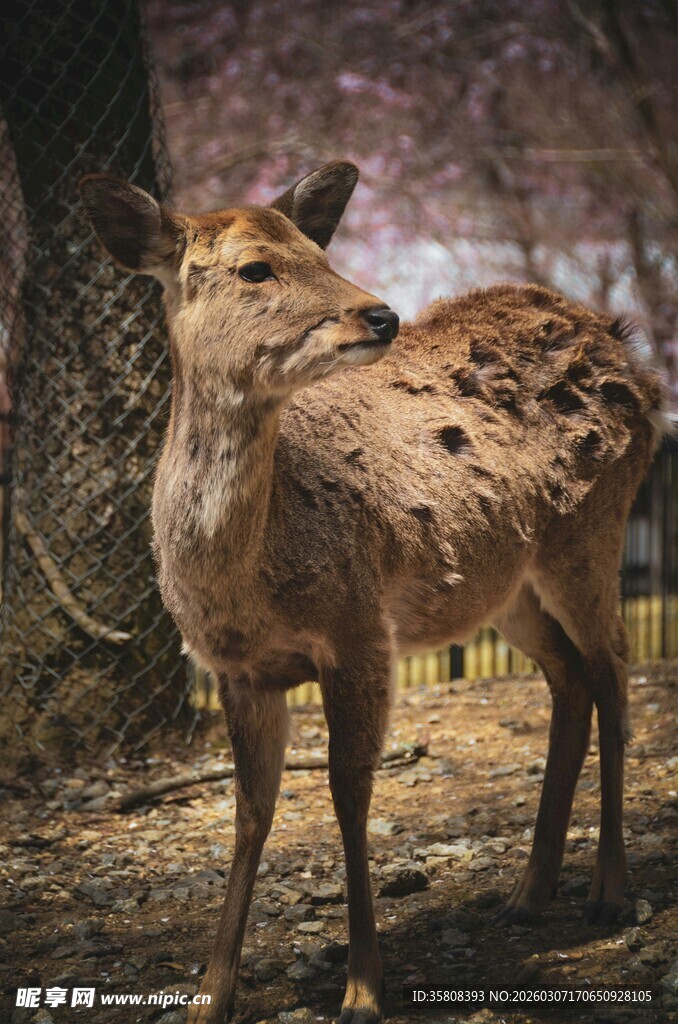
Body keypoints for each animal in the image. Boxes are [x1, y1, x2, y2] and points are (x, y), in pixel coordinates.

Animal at [80, 161, 666, 1024]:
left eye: (318, 253)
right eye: (255, 267)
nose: (381, 313)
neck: (249, 581)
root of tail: (635, 359)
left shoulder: (359, 629)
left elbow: (349, 790)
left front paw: (362, 989)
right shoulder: (236, 671)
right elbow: (251, 810)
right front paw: (209, 996)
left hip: (589, 533)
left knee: (615, 671)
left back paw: (611, 891)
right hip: (506, 586)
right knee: (570, 679)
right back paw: (527, 894)